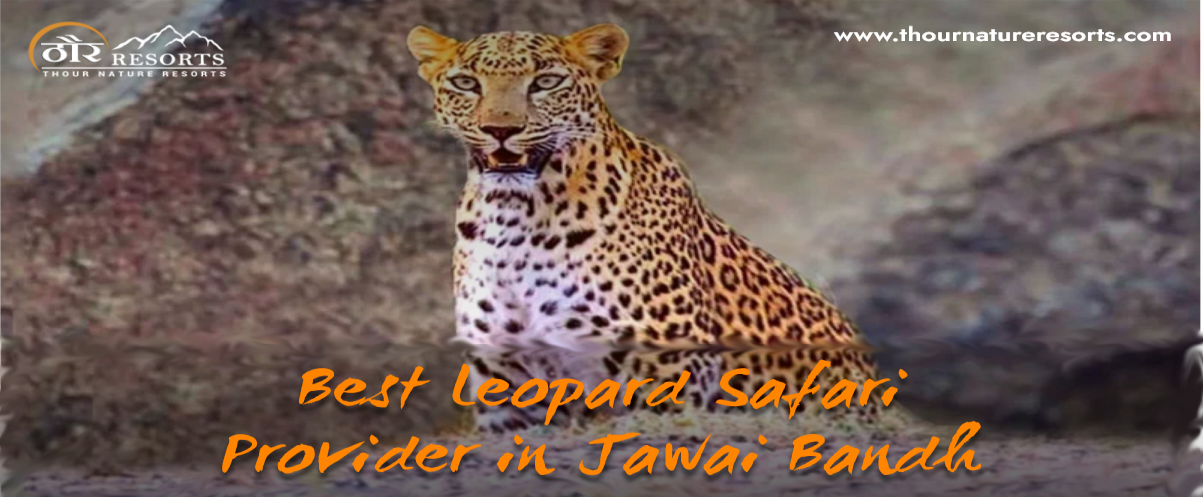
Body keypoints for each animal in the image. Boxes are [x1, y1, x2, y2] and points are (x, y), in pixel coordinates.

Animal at [407, 23, 888, 434]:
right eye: (466, 83)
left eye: (546, 82)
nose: (500, 130)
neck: (514, 219)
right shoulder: (505, 383)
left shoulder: (668, 371)